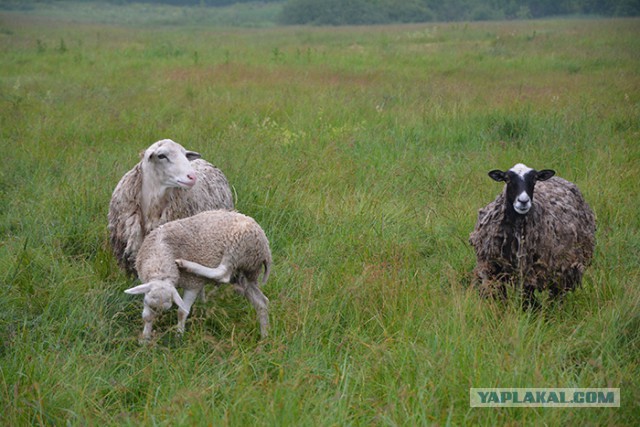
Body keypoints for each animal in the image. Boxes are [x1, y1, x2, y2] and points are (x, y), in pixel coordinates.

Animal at [124, 209, 272, 342]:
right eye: (146, 302)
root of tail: (266, 249)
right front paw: (145, 339)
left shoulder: (193, 284)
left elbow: (182, 312)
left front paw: (178, 336)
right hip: (246, 273)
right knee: (261, 302)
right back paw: (265, 336)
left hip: (238, 244)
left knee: (222, 273)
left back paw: (186, 264)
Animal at [468, 162, 596, 306]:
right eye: (507, 179)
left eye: (534, 179)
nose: (523, 201)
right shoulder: (493, 269)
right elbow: (501, 298)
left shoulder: (529, 272)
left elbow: (526, 299)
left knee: (557, 294)